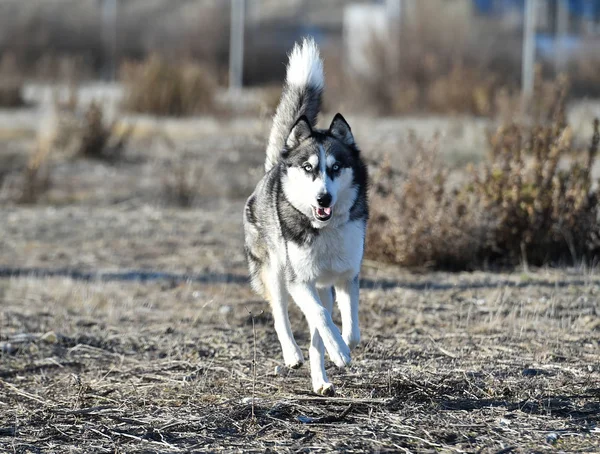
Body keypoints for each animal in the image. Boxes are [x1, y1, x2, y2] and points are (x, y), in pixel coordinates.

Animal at [243, 37, 366, 396]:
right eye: (309, 168)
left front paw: (342, 346)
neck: (324, 229)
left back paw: (321, 380)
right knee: (281, 316)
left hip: (320, 284)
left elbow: (349, 328)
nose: (323, 198)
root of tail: (275, 165)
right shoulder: (300, 281)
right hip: (275, 272)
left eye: (335, 168)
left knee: (316, 329)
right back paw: (293, 354)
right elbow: (321, 317)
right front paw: (339, 352)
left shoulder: (346, 277)